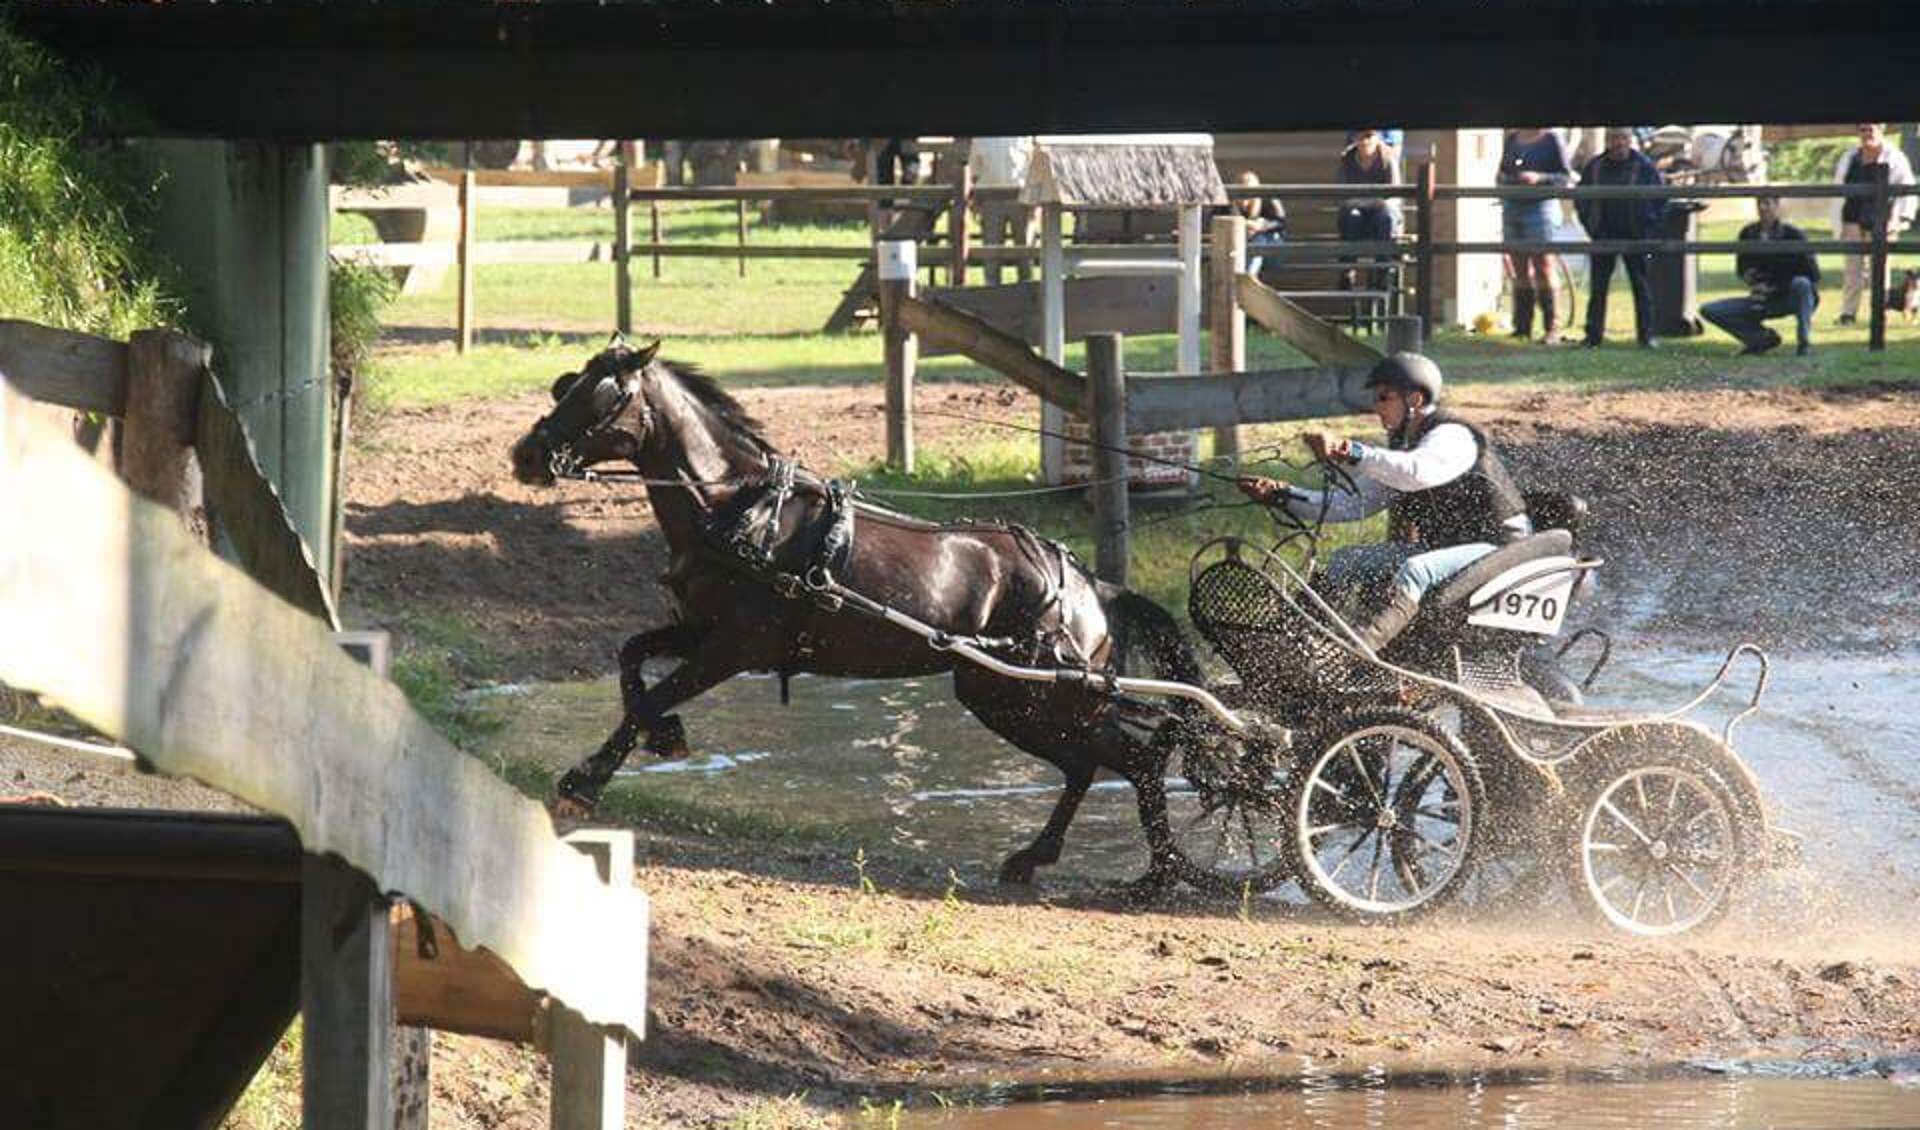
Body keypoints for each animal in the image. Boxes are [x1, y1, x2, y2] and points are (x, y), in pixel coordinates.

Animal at [510, 339, 1198, 886]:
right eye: (568, 383)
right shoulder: (700, 629)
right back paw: (1044, 858)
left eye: (605, 396)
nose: (525, 455)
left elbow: (654, 693)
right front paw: (658, 738)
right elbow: (631, 661)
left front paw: (588, 780)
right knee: (1091, 764)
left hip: (1035, 696)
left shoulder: (734, 646)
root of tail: (1090, 585)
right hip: (1009, 697)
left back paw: (1160, 873)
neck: (739, 511)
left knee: (1133, 759)